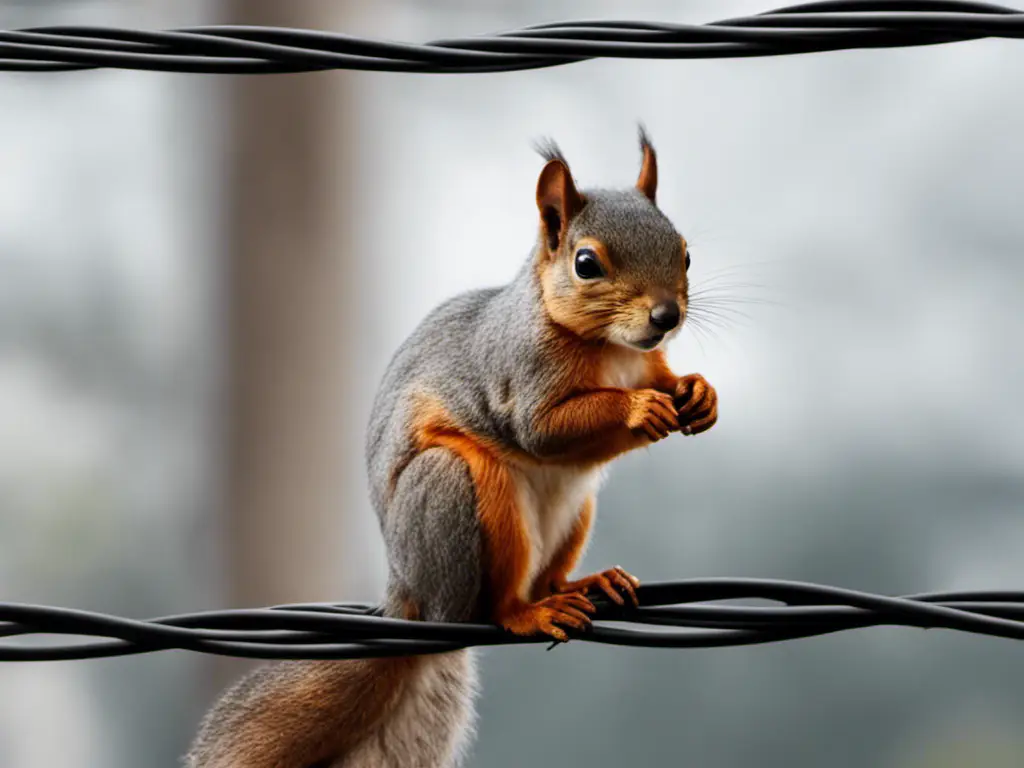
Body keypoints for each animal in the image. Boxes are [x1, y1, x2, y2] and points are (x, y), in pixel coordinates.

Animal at [190, 129, 720, 768]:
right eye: (586, 264)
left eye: (685, 253)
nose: (667, 316)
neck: (611, 348)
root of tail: (408, 591)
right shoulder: (519, 375)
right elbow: (543, 430)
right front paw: (640, 408)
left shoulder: (647, 362)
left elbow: (667, 380)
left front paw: (700, 393)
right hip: (457, 494)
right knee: (491, 606)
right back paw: (529, 612)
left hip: (577, 511)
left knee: (547, 574)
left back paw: (581, 585)